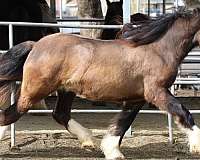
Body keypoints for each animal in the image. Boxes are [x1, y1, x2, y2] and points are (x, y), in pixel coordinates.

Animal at [0, 7, 200, 160]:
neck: (158, 49)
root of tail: (35, 46)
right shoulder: (156, 92)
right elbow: (183, 112)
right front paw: (196, 145)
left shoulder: (136, 98)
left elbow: (122, 123)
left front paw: (113, 152)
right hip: (34, 91)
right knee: (9, 114)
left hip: (66, 90)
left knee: (60, 114)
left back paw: (90, 141)